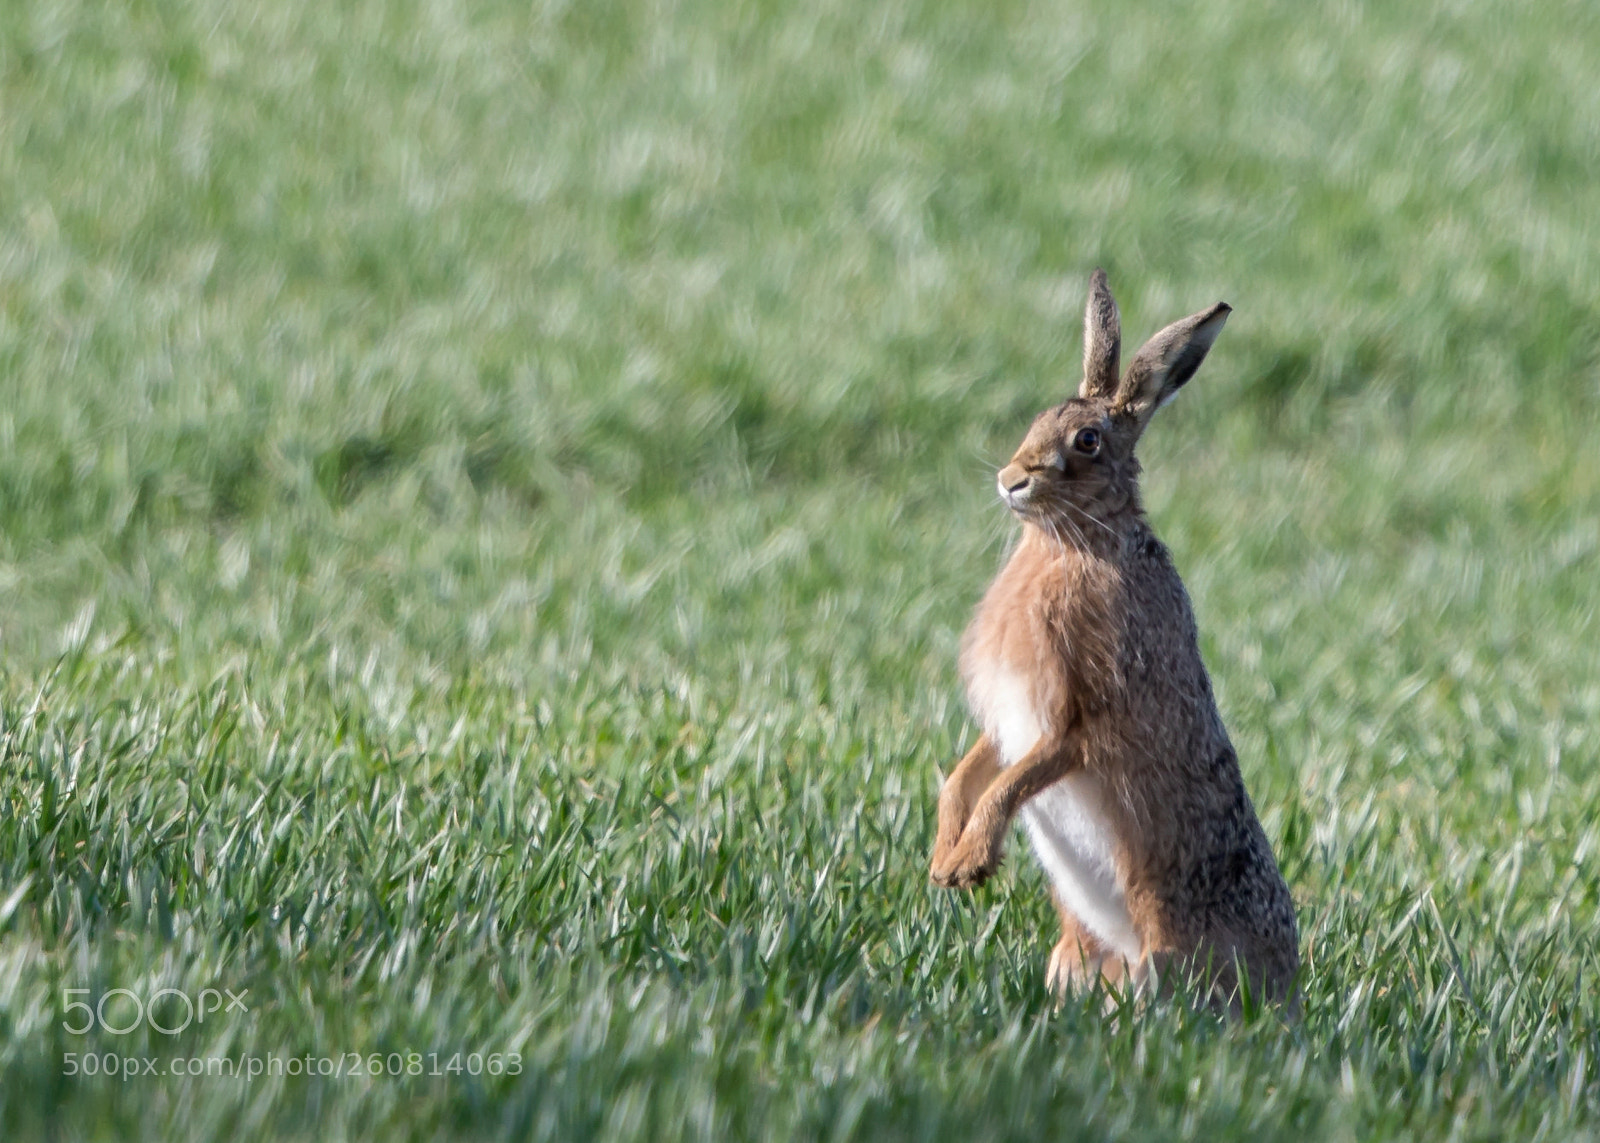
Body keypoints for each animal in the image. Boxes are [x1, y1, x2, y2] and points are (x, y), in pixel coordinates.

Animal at [928, 269, 1298, 1007]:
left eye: (1089, 441)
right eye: (1038, 420)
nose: (1011, 480)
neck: (1074, 543)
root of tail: (1287, 988)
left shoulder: (1082, 716)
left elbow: (1011, 782)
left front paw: (970, 862)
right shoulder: (1012, 719)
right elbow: (970, 773)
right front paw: (943, 859)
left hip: (1165, 933)